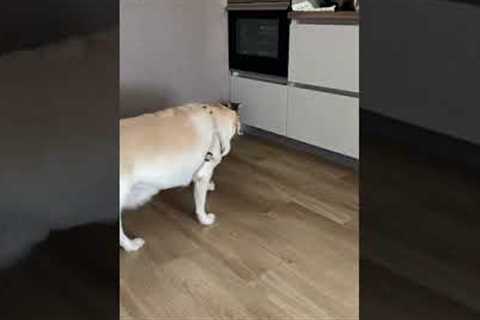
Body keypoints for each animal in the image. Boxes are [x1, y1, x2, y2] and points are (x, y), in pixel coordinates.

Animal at [118, 102, 242, 252]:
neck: (214, 121)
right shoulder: (204, 174)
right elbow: (200, 204)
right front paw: (204, 219)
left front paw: (209, 186)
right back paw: (131, 246)